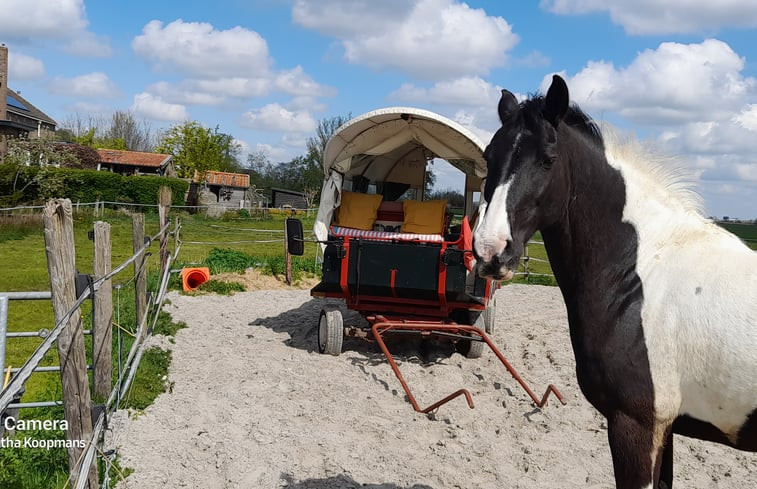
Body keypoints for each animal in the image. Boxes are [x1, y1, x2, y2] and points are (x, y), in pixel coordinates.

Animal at [472, 74, 756, 486]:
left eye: (548, 160)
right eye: (488, 157)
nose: (490, 251)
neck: (640, 278)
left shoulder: (635, 425)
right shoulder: (665, 430)